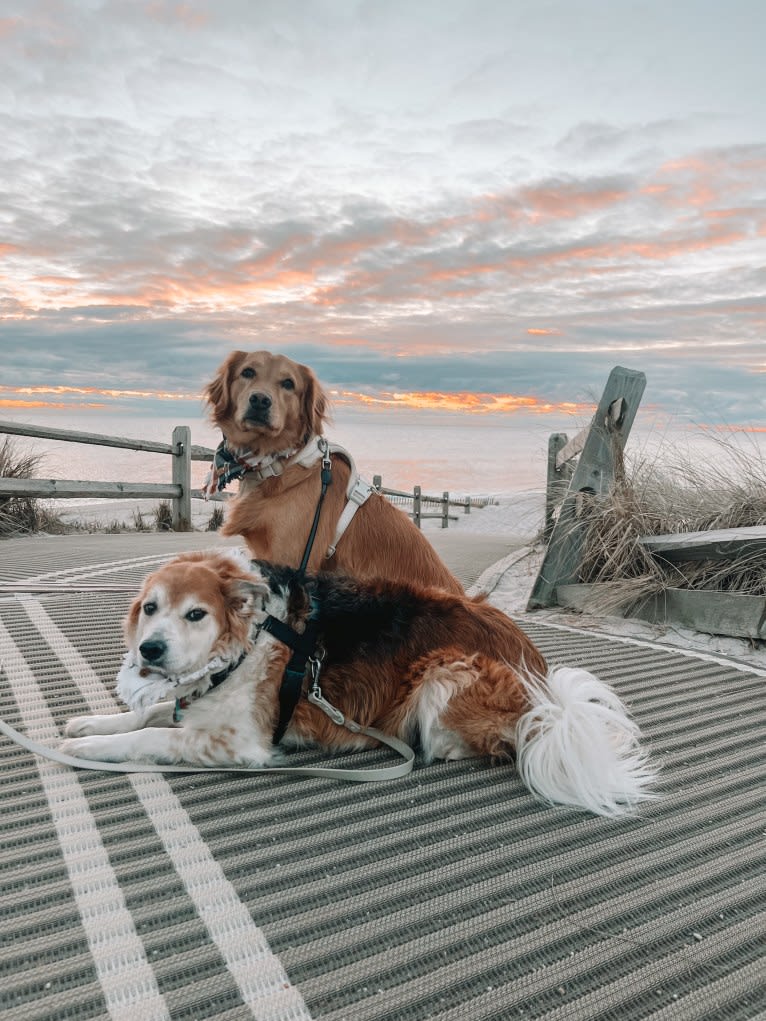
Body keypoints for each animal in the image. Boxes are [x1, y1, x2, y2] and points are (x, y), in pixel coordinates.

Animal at [63, 547, 657, 816]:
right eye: (150, 608)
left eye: (195, 614)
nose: (149, 650)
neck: (250, 636)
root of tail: (547, 694)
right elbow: (146, 713)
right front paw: (90, 724)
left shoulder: (237, 742)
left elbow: (150, 733)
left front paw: (92, 748)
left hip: (445, 670)